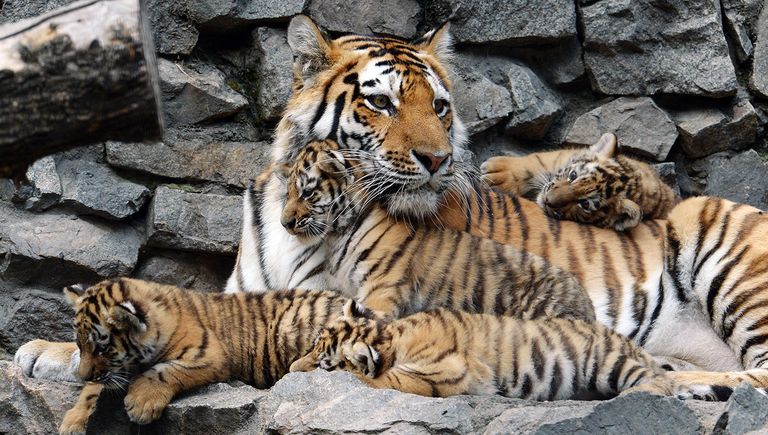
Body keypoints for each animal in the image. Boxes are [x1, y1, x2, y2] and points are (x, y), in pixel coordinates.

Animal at [51, 278, 349, 434]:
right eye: (80, 345)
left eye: (101, 348)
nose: (81, 374)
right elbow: (95, 387)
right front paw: (73, 421)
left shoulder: (209, 353)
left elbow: (165, 371)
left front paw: (141, 403)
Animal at [290, 300, 677, 400]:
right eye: (313, 344)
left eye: (324, 364)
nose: (290, 370)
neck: (391, 336)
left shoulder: (442, 374)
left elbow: (381, 380)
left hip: (610, 360)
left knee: (659, 382)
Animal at [482, 133, 680, 231]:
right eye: (573, 175)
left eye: (585, 204)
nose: (547, 200)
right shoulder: (562, 156)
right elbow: (536, 161)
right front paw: (496, 174)